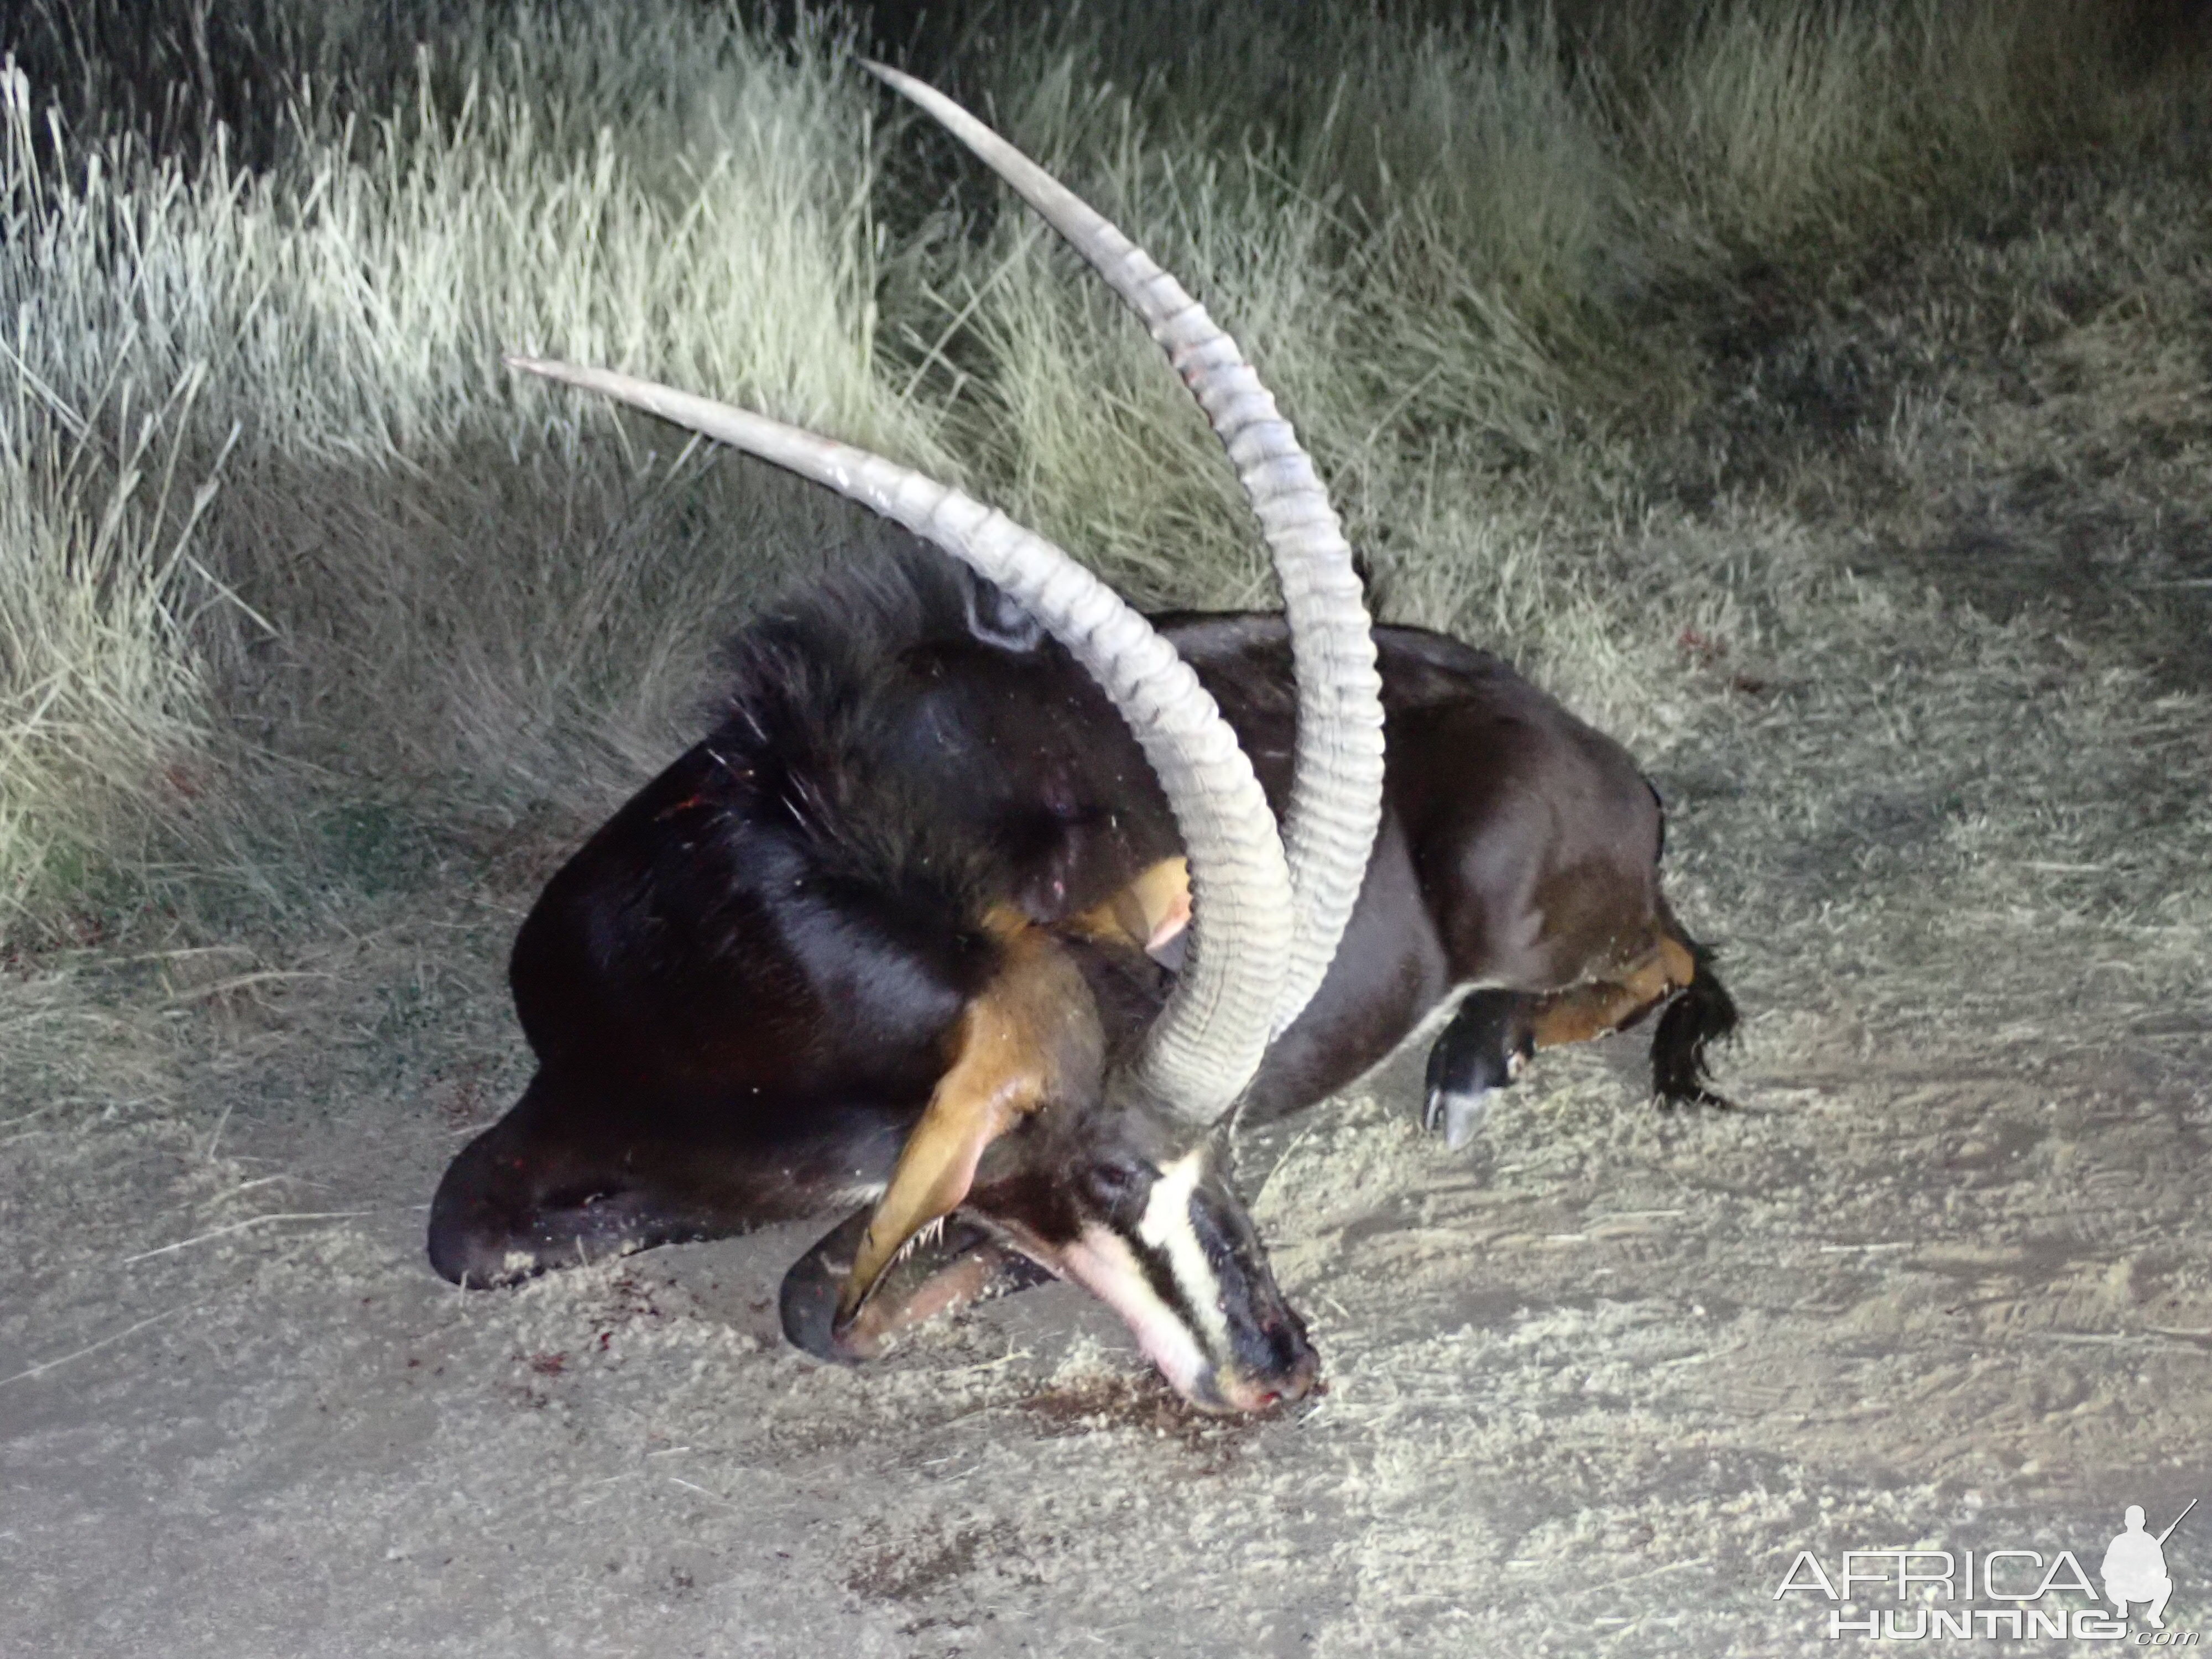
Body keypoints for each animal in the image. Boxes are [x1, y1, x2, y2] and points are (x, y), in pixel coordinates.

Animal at [427, 68, 1725, 1416]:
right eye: (1111, 1174)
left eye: (1231, 1136)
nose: (1282, 1368)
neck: (736, 968)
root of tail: (1592, 747)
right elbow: (468, 1236)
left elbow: (825, 1294)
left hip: (1526, 902)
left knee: (1671, 956)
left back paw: (1478, 1058)